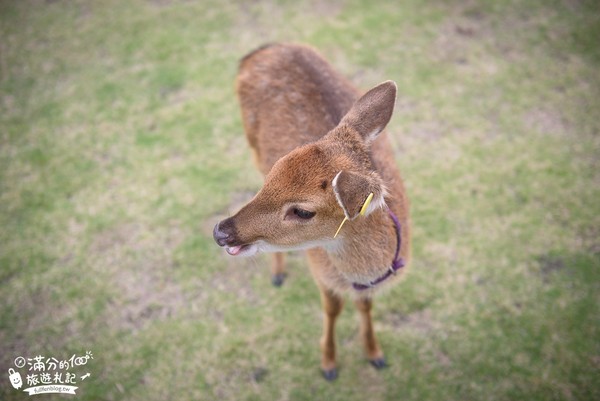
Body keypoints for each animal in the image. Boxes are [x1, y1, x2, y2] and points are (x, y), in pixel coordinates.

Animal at [213, 42, 410, 380]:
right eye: (275, 173)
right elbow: (332, 309)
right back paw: (277, 273)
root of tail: (263, 49)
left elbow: (364, 306)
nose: (221, 231)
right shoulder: (320, 269)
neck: (365, 274)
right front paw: (329, 364)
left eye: (303, 211)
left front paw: (375, 354)